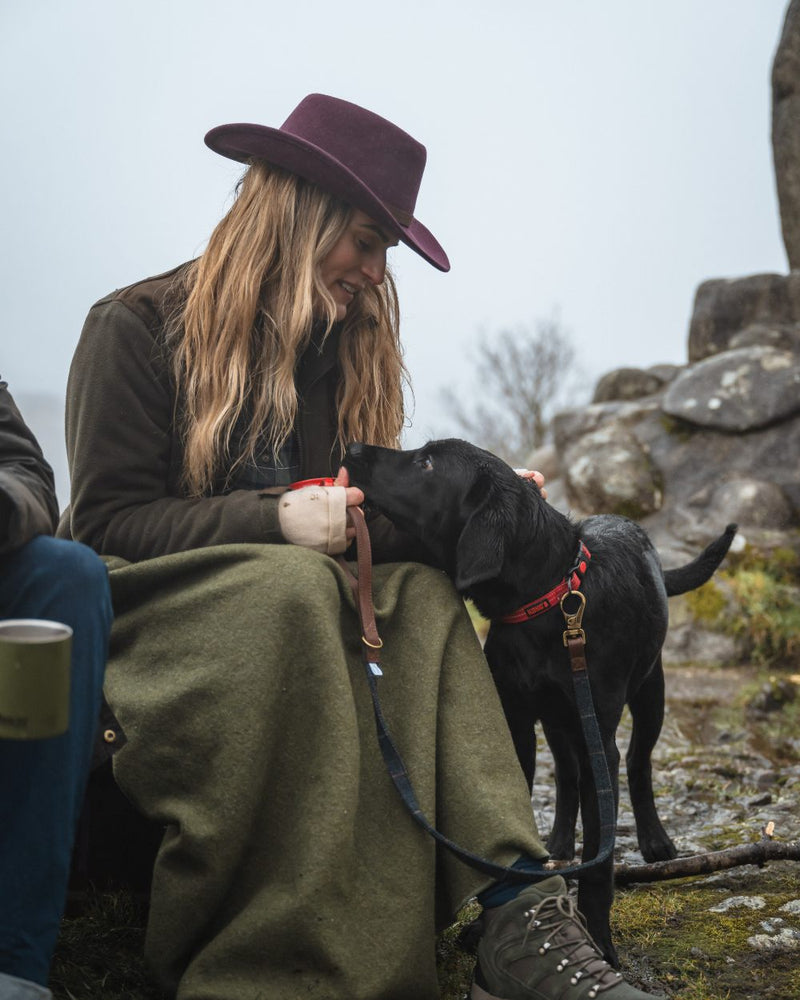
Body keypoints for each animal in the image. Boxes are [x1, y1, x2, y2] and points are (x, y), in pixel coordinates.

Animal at [344, 436, 732, 960]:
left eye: (425, 463)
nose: (351, 448)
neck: (547, 599)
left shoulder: (596, 739)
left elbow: (599, 862)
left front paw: (600, 940)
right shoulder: (516, 723)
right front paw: (488, 923)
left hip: (649, 693)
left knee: (638, 762)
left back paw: (654, 839)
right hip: (558, 721)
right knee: (567, 776)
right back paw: (561, 842)